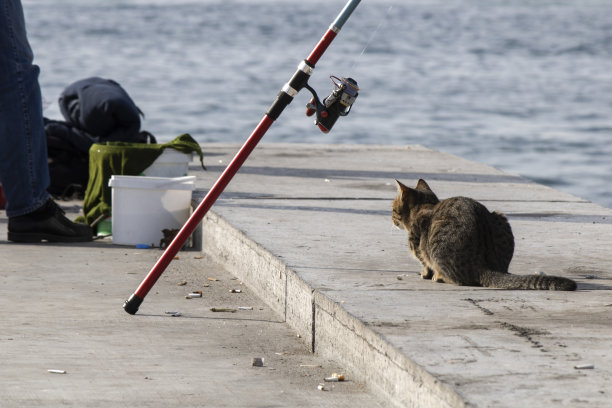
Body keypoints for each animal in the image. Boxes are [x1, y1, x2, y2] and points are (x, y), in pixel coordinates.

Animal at [392, 178, 580, 290]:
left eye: (393, 209)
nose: (392, 220)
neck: (424, 206)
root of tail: (484, 266)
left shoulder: (418, 247)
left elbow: (425, 264)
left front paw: (426, 275)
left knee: (459, 280)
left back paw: (439, 277)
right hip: (501, 218)